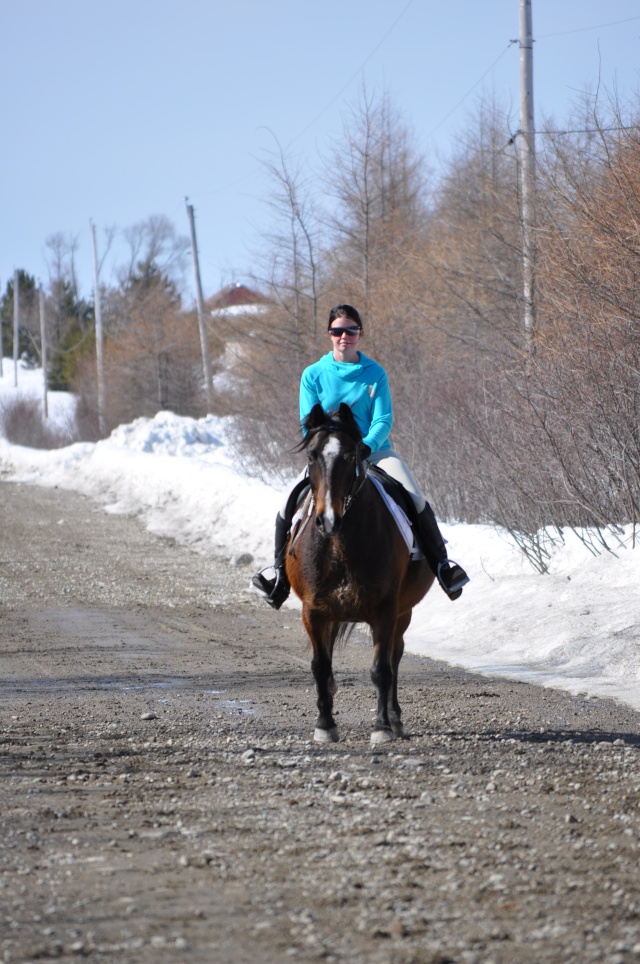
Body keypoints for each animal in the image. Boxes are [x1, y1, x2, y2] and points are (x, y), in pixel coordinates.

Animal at [288, 400, 436, 744]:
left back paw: (394, 718)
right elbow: (321, 666)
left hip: (402, 612)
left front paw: (381, 727)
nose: (328, 520)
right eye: (311, 455)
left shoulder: (385, 610)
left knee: (395, 655)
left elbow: (381, 669)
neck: (340, 543)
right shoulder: (313, 611)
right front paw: (325, 725)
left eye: (350, 455)